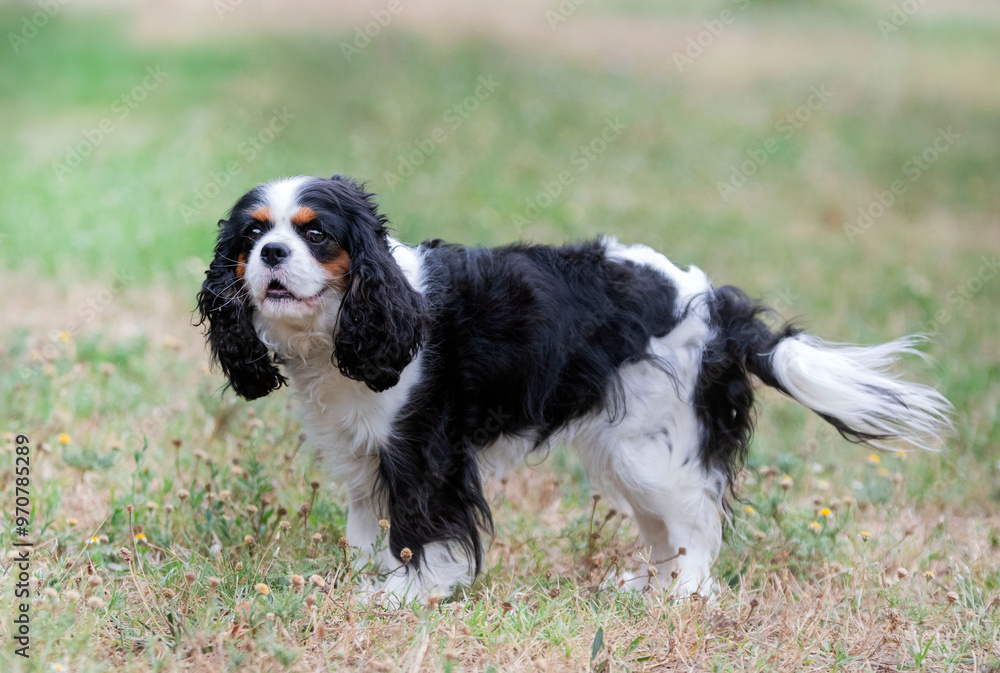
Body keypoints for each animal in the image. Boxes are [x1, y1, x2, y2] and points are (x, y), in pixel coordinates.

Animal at [197, 173, 952, 600]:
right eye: (252, 236)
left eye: (317, 234)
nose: (271, 255)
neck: (365, 315)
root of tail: (720, 305)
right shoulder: (363, 457)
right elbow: (367, 531)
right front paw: (366, 581)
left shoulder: (423, 454)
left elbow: (420, 530)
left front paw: (409, 594)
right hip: (630, 453)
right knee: (666, 529)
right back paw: (647, 586)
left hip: (653, 453)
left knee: (696, 523)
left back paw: (684, 595)